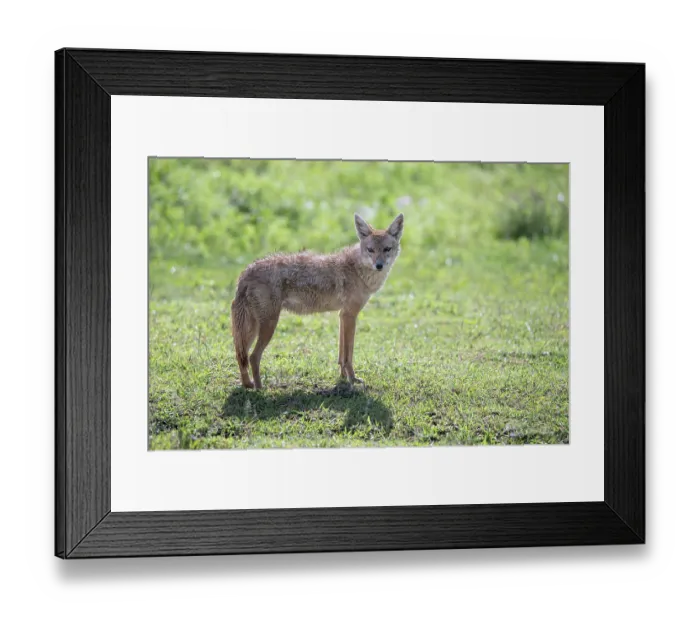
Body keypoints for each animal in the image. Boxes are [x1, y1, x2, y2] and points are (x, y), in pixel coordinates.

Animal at [231, 212, 404, 389]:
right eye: (371, 250)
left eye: (387, 249)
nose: (379, 265)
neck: (358, 270)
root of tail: (246, 272)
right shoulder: (350, 315)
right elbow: (348, 355)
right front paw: (352, 379)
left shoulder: (342, 315)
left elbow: (341, 354)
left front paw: (342, 378)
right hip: (268, 326)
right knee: (253, 357)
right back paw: (260, 388)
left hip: (252, 329)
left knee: (240, 356)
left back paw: (248, 385)